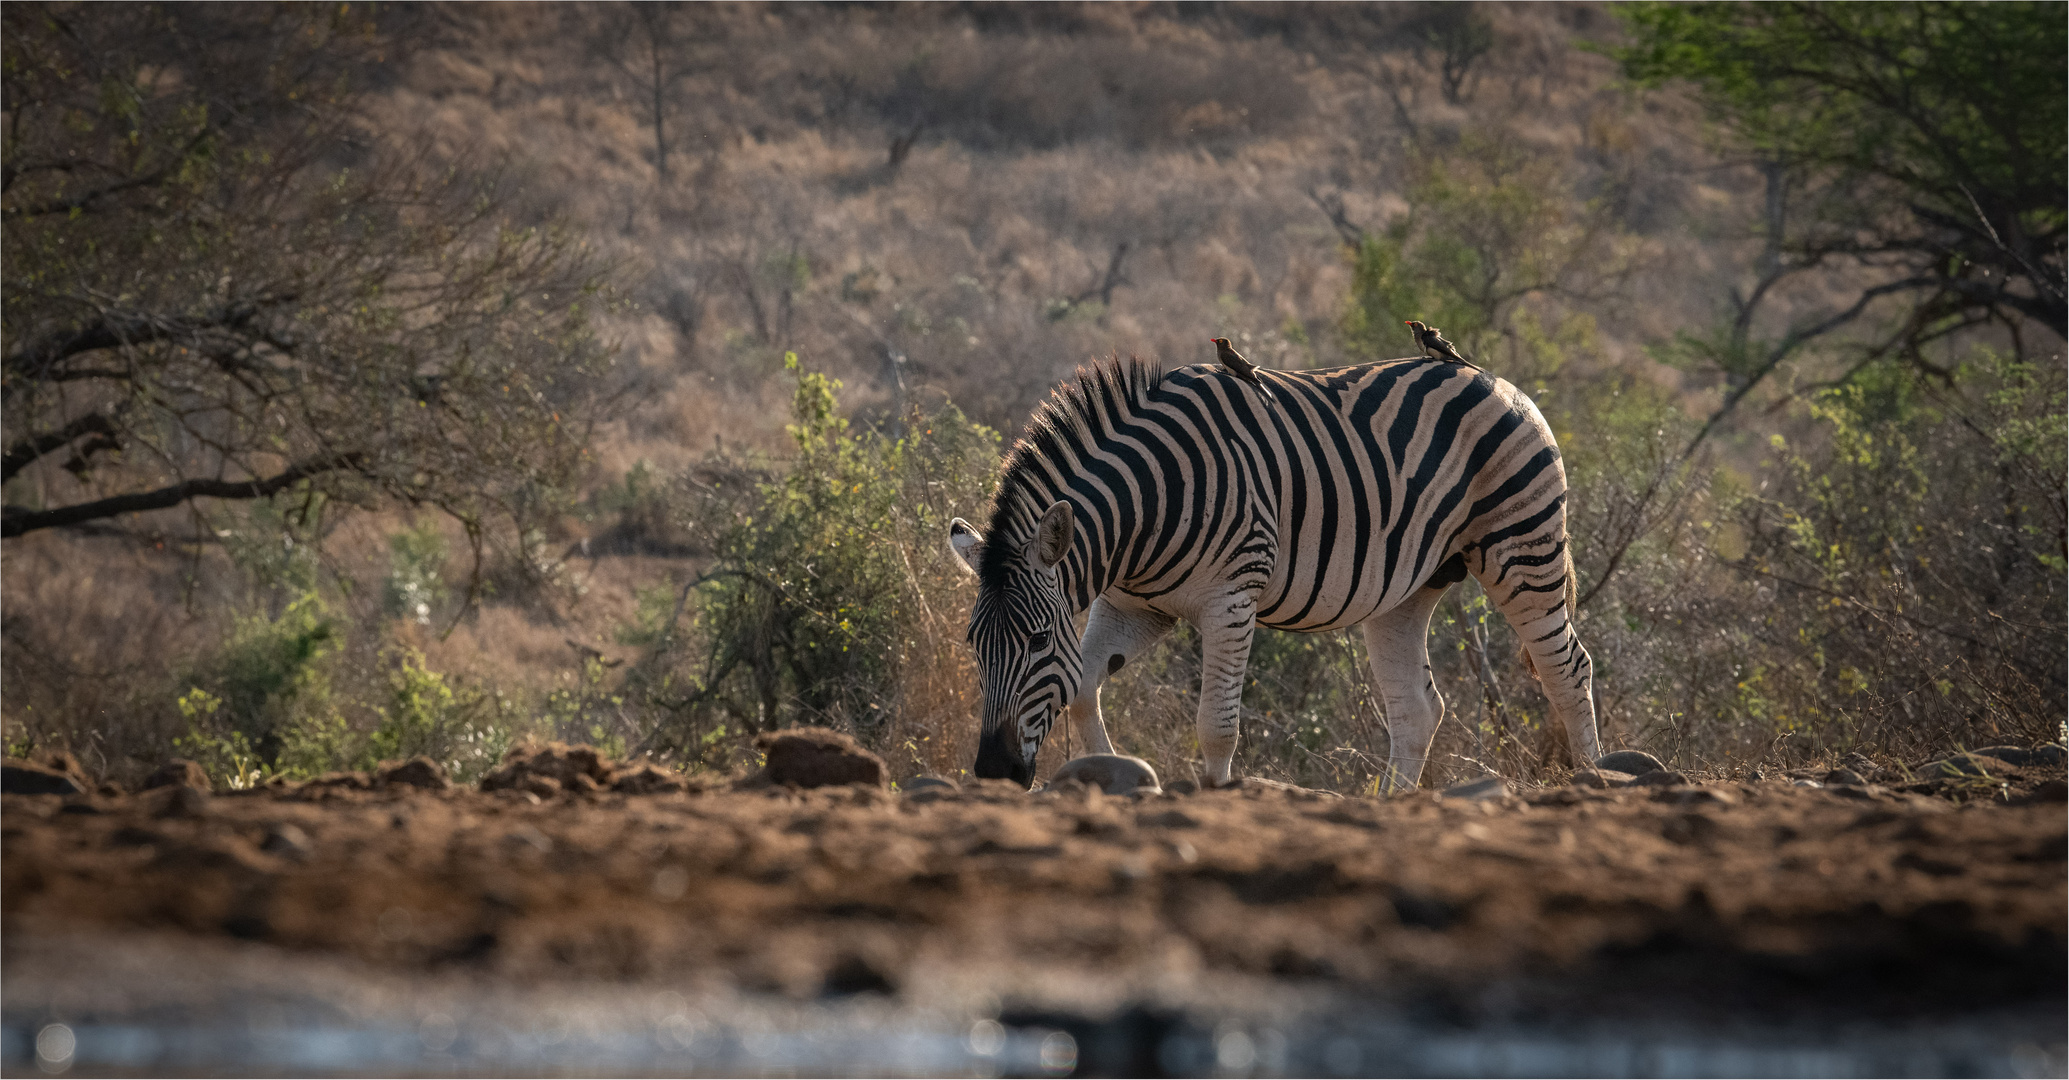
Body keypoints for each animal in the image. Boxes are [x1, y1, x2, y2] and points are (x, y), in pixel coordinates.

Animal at [947, 357, 1588, 786]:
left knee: (1568, 670)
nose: (994, 772)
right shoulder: (1133, 605)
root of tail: (1492, 377)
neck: (1144, 513)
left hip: (1522, 548)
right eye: (975, 645)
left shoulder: (1231, 602)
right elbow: (1079, 690)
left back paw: (1595, 780)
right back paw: (1391, 807)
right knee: (1417, 711)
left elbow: (1216, 725)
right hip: (1406, 590)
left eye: (1035, 641)